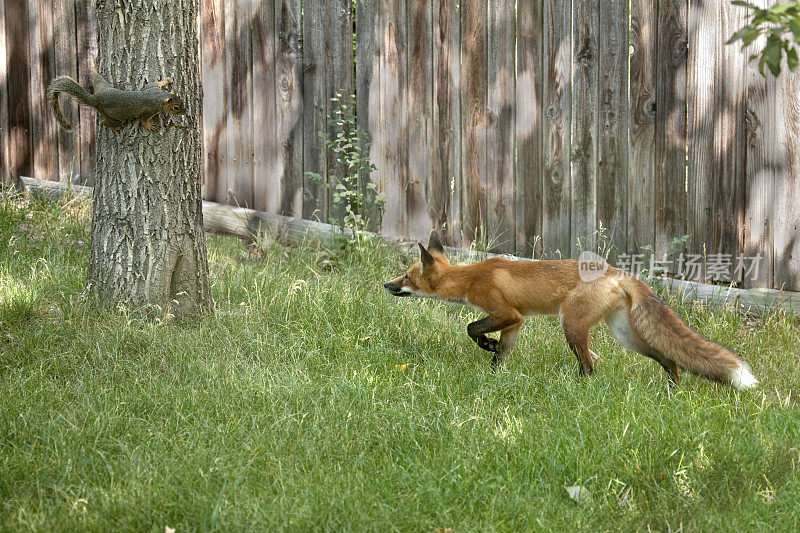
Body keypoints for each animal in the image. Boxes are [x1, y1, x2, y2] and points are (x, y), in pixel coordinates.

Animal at [46, 72, 186, 132]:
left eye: (182, 101)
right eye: (176, 108)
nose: (185, 112)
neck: (158, 97)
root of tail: (96, 99)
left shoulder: (152, 87)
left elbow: (155, 83)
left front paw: (166, 80)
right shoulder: (149, 110)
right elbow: (143, 120)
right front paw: (149, 126)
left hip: (104, 85)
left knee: (97, 78)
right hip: (115, 117)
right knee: (104, 122)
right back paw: (113, 127)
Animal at [384, 231, 760, 388]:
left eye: (406, 276)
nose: (386, 285)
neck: (470, 277)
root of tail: (617, 271)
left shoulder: (506, 313)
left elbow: (472, 328)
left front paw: (485, 346)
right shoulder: (516, 322)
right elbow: (501, 354)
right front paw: (493, 374)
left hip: (572, 325)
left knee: (591, 367)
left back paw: (580, 391)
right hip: (626, 336)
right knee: (670, 357)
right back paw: (673, 390)